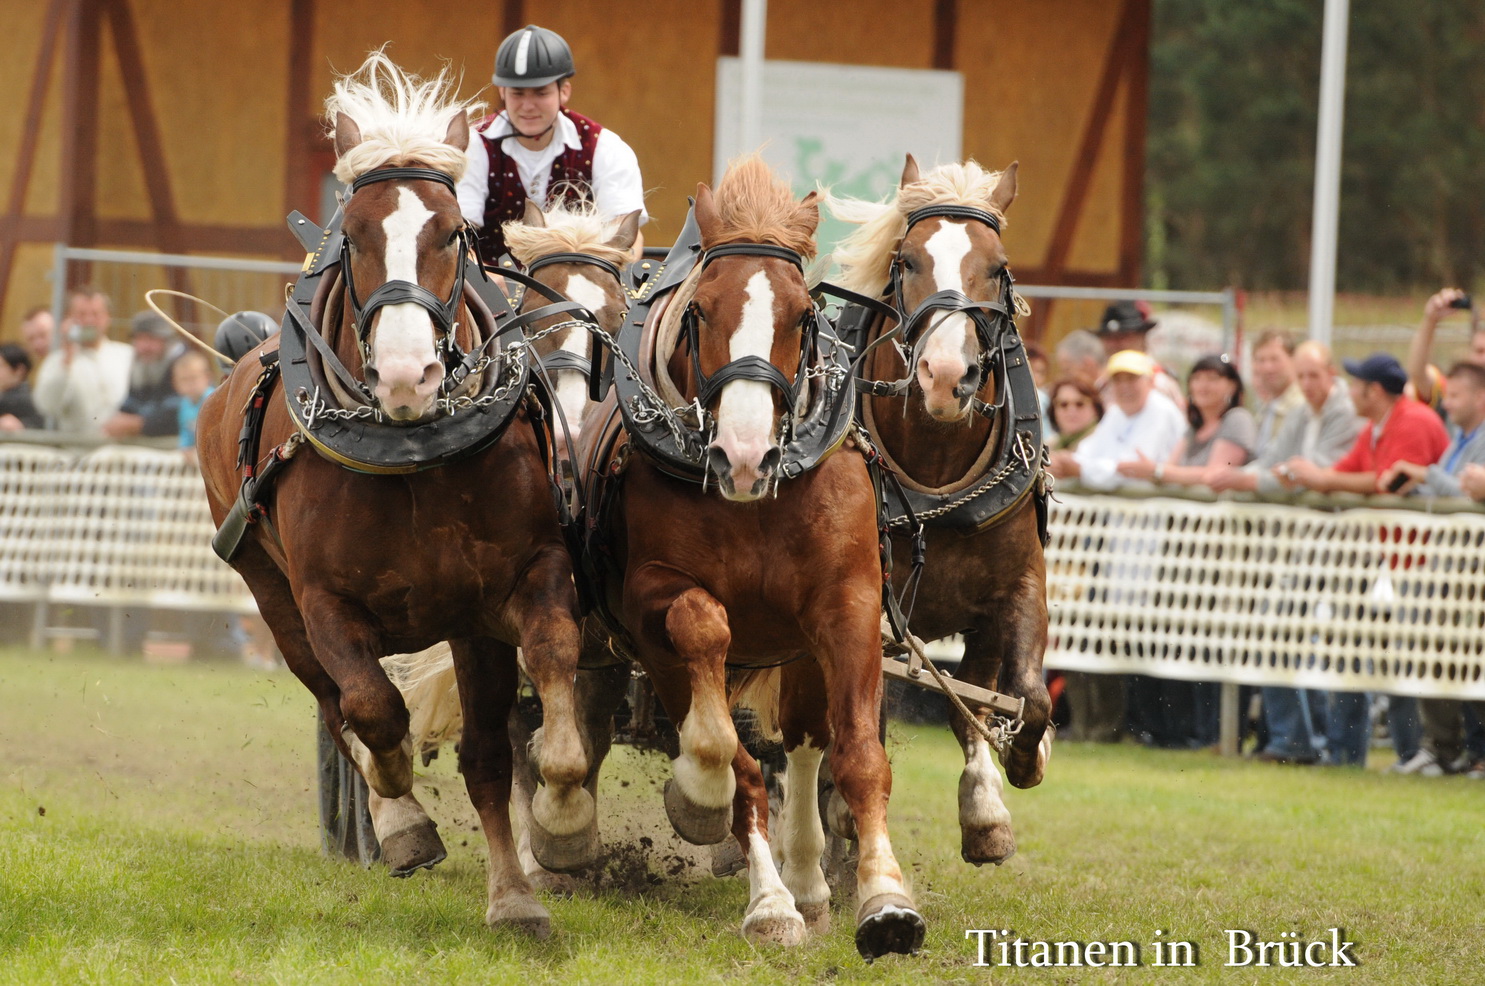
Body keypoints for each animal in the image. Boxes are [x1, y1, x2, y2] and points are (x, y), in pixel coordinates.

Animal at [197, 51, 596, 932]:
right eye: (352, 233)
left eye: (452, 233)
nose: (407, 375)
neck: (411, 447)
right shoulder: (323, 601)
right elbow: (374, 710)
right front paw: (399, 812)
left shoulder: (512, 586)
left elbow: (530, 704)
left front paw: (543, 853)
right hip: (270, 593)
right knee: (333, 702)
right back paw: (389, 816)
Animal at [825, 158, 1057, 867]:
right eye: (906, 262)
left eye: (1000, 268)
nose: (946, 377)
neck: (936, 478)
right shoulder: (864, 602)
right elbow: (864, 710)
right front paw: (846, 811)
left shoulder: (1017, 588)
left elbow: (1020, 695)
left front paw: (1006, 781)